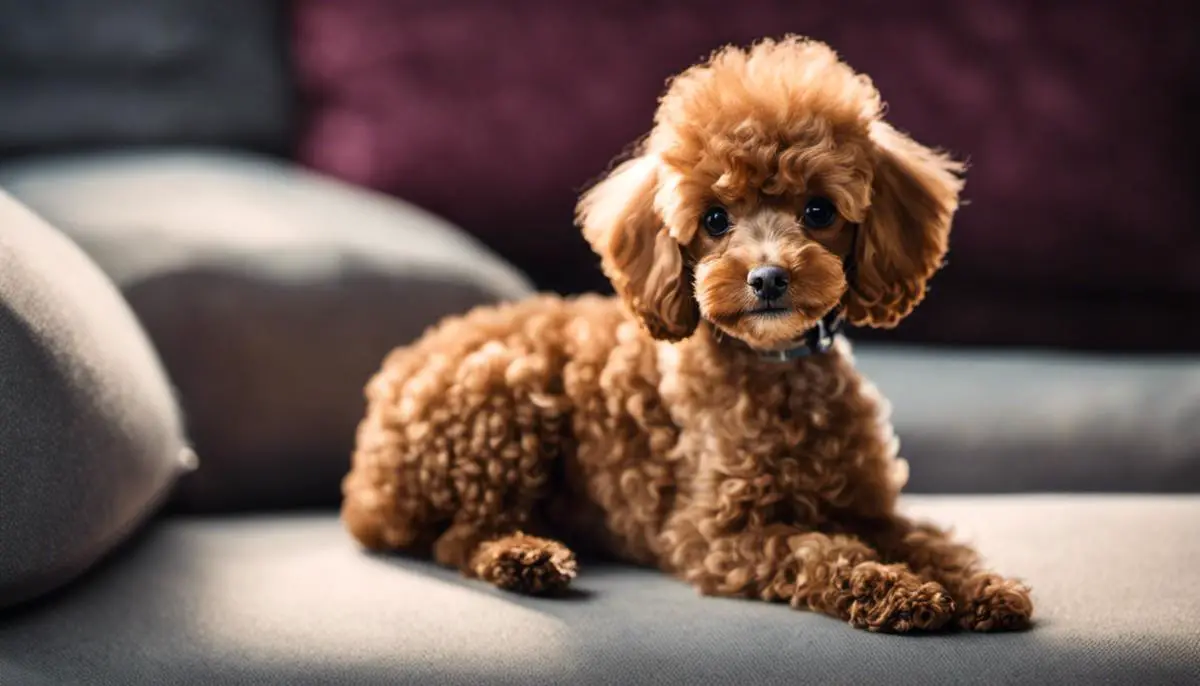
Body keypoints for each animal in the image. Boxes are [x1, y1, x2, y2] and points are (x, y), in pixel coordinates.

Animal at [345, 37, 1032, 633]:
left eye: (818, 211)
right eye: (715, 219)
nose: (767, 278)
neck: (779, 371)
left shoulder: (871, 508)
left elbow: (933, 542)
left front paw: (984, 587)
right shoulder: (714, 535)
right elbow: (820, 551)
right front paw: (898, 589)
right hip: (502, 392)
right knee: (457, 537)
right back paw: (526, 557)